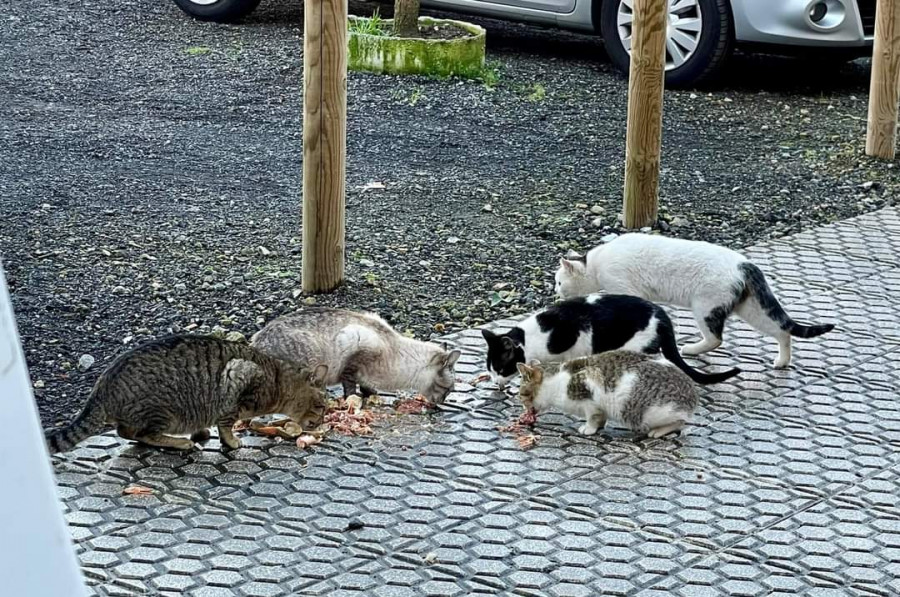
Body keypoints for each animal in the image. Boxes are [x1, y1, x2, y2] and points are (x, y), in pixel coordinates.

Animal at [44, 336, 328, 452]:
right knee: (142, 433)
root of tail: (100, 388)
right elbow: (226, 423)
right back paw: (179, 442)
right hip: (162, 411)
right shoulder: (236, 378)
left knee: (126, 431)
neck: (277, 377)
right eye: (322, 406)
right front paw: (231, 440)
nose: (322, 421)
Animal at [482, 296, 740, 388]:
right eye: (491, 371)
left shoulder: (574, 341)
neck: (529, 338)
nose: (494, 381)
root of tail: (663, 317)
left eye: (499, 369)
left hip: (634, 345)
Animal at [516, 350, 700, 438]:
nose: (523, 406)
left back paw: (658, 431)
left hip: (654, 413)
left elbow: (593, 417)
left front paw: (588, 429)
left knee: (680, 422)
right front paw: (598, 427)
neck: (556, 382)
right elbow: (601, 418)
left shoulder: (589, 398)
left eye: (522, 395)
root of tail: (692, 399)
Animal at [556, 233, 836, 368]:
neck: (595, 265)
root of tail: (745, 263)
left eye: (559, 282)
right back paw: (782, 361)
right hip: (751, 310)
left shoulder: (624, 286)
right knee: (782, 331)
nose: (555, 292)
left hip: (704, 307)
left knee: (716, 338)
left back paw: (690, 349)